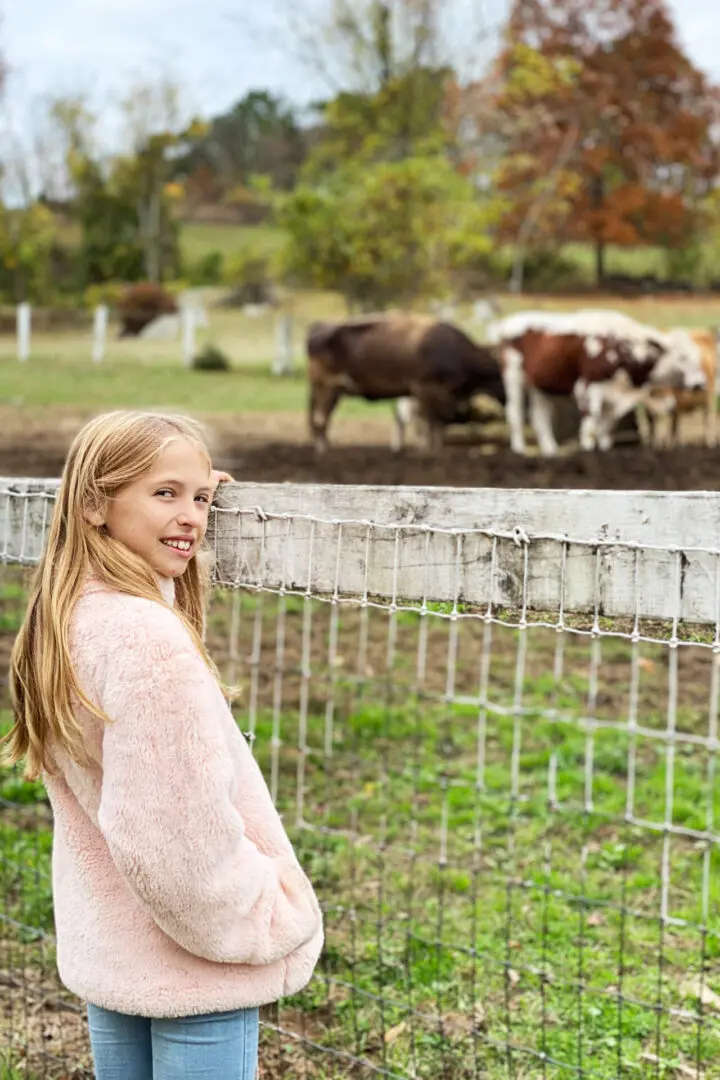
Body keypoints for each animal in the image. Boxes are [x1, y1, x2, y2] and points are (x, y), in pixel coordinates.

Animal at [306, 313, 505, 451]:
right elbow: (428, 421)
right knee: (320, 417)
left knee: (322, 417)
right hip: (328, 386)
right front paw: (427, 448)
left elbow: (438, 422)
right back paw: (323, 449)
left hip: (331, 389)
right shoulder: (424, 388)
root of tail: (319, 327)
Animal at [487, 311, 708, 453]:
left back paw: (551, 451)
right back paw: (519, 450)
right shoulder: (587, 387)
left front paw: (603, 451)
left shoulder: (613, 396)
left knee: (539, 417)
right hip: (514, 376)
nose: (700, 383)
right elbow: (590, 426)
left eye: (697, 356)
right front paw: (588, 452)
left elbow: (606, 428)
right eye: (682, 357)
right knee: (514, 412)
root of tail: (508, 324)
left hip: (539, 387)